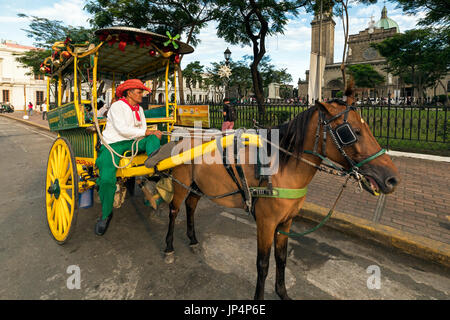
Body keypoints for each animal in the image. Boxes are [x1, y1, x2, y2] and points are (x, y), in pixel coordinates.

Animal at [160, 86, 400, 298]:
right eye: (350, 132)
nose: (391, 178)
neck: (281, 166)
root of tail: (182, 137)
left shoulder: (286, 221)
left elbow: (282, 258)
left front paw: (282, 292)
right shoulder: (266, 222)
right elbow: (263, 264)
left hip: (197, 185)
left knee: (191, 206)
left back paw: (192, 239)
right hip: (181, 183)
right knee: (174, 210)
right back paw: (169, 247)